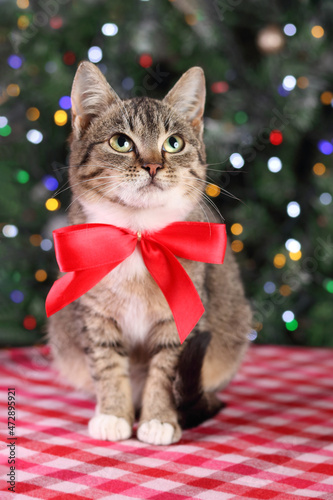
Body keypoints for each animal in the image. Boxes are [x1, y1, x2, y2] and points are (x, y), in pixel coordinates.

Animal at [47, 62, 252, 446]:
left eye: (174, 143)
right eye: (121, 142)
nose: (154, 166)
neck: (139, 234)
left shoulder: (181, 319)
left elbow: (166, 370)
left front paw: (159, 419)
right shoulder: (95, 314)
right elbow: (107, 362)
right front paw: (113, 414)